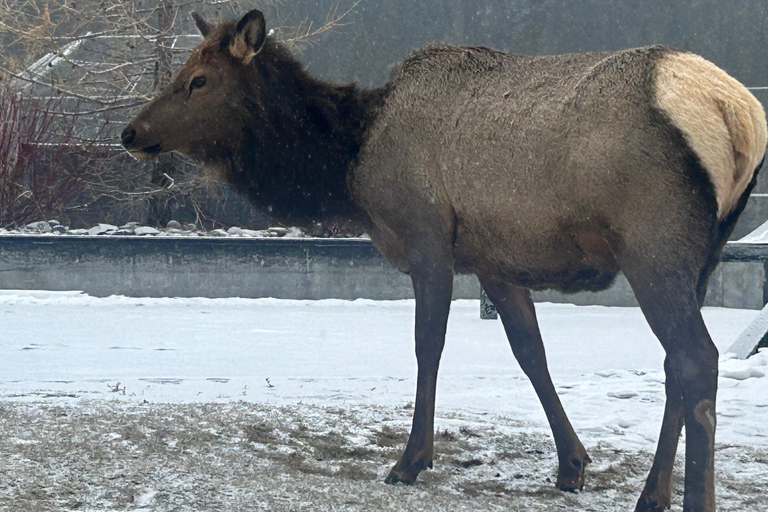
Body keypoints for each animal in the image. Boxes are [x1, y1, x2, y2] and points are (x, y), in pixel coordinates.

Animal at [123, 9, 764, 512]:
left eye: (198, 79)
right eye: (180, 72)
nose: (131, 132)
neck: (350, 160)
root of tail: (740, 115)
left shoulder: (427, 239)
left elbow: (427, 345)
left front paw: (410, 461)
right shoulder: (494, 260)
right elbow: (531, 352)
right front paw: (572, 465)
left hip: (653, 244)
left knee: (696, 357)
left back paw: (686, 499)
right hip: (704, 254)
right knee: (675, 362)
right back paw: (652, 494)